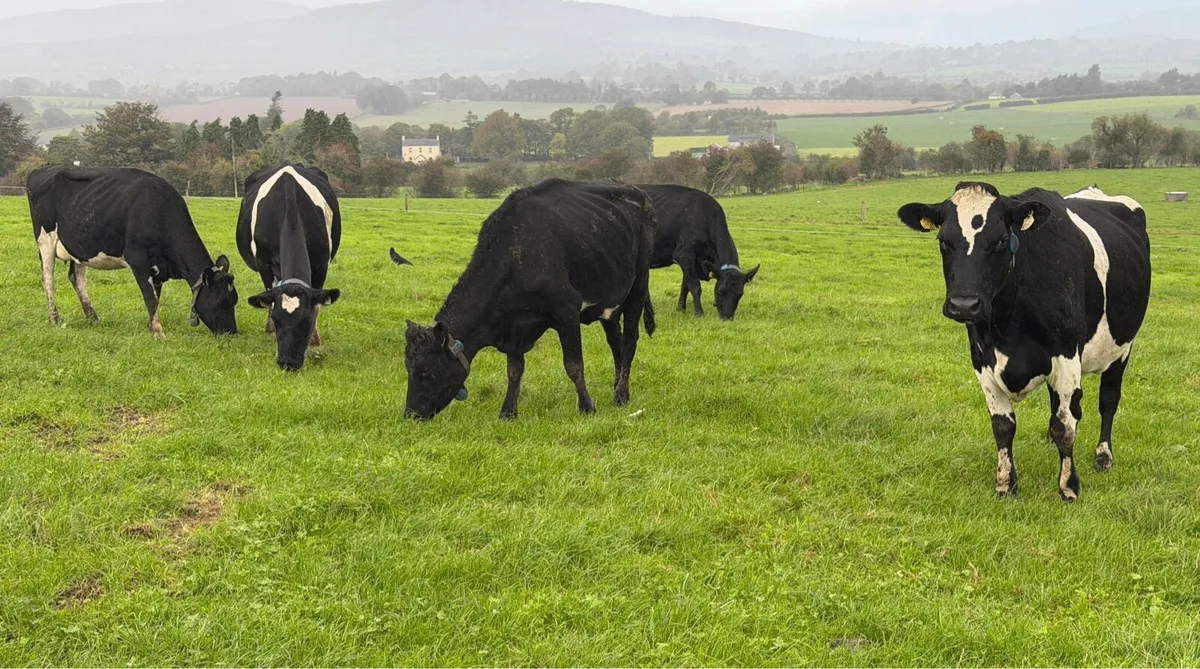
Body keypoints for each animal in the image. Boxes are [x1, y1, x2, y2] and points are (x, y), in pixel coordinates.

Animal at [26, 165, 238, 336]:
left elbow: (156, 297)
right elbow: (149, 297)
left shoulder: (158, 268)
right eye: (221, 301)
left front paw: (151, 325)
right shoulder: (138, 258)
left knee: (76, 278)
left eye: (234, 300)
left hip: (79, 247)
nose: (232, 333)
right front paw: (158, 332)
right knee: (48, 278)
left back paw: (93, 317)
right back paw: (55, 319)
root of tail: (43, 169)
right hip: (45, 240)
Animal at [236, 162, 342, 371]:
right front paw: (271, 332)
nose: (288, 362)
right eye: (278, 321)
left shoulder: (321, 263)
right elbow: (269, 299)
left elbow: (318, 303)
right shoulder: (264, 263)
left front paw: (314, 341)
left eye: (306, 321)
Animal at [404, 178, 657, 421]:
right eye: (407, 366)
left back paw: (621, 395)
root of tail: (638, 192)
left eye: (425, 370)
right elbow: (514, 371)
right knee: (615, 342)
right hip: (609, 301)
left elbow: (573, 365)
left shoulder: (567, 311)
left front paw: (587, 407)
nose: (411, 414)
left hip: (639, 284)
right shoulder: (513, 326)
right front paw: (508, 412)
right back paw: (619, 389)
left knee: (629, 341)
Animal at [640, 184, 759, 319]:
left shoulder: (694, 261)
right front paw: (699, 313)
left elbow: (685, 286)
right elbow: (695, 286)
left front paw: (680, 309)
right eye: (720, 291)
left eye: (740, 294)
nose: (727, 318)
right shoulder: (684, 255)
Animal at [897, 182, 1151, 501]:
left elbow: (1065, 426)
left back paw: (1103, 455)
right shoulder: (982, 360)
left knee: (1108, 400)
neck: (1008, 324)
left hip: (1122, 347)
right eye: (944, 241)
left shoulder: (1067, 358)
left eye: (1001, 241)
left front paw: (1068, 486)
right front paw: (1006, 484)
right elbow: (1003, 426)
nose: (964, 304)